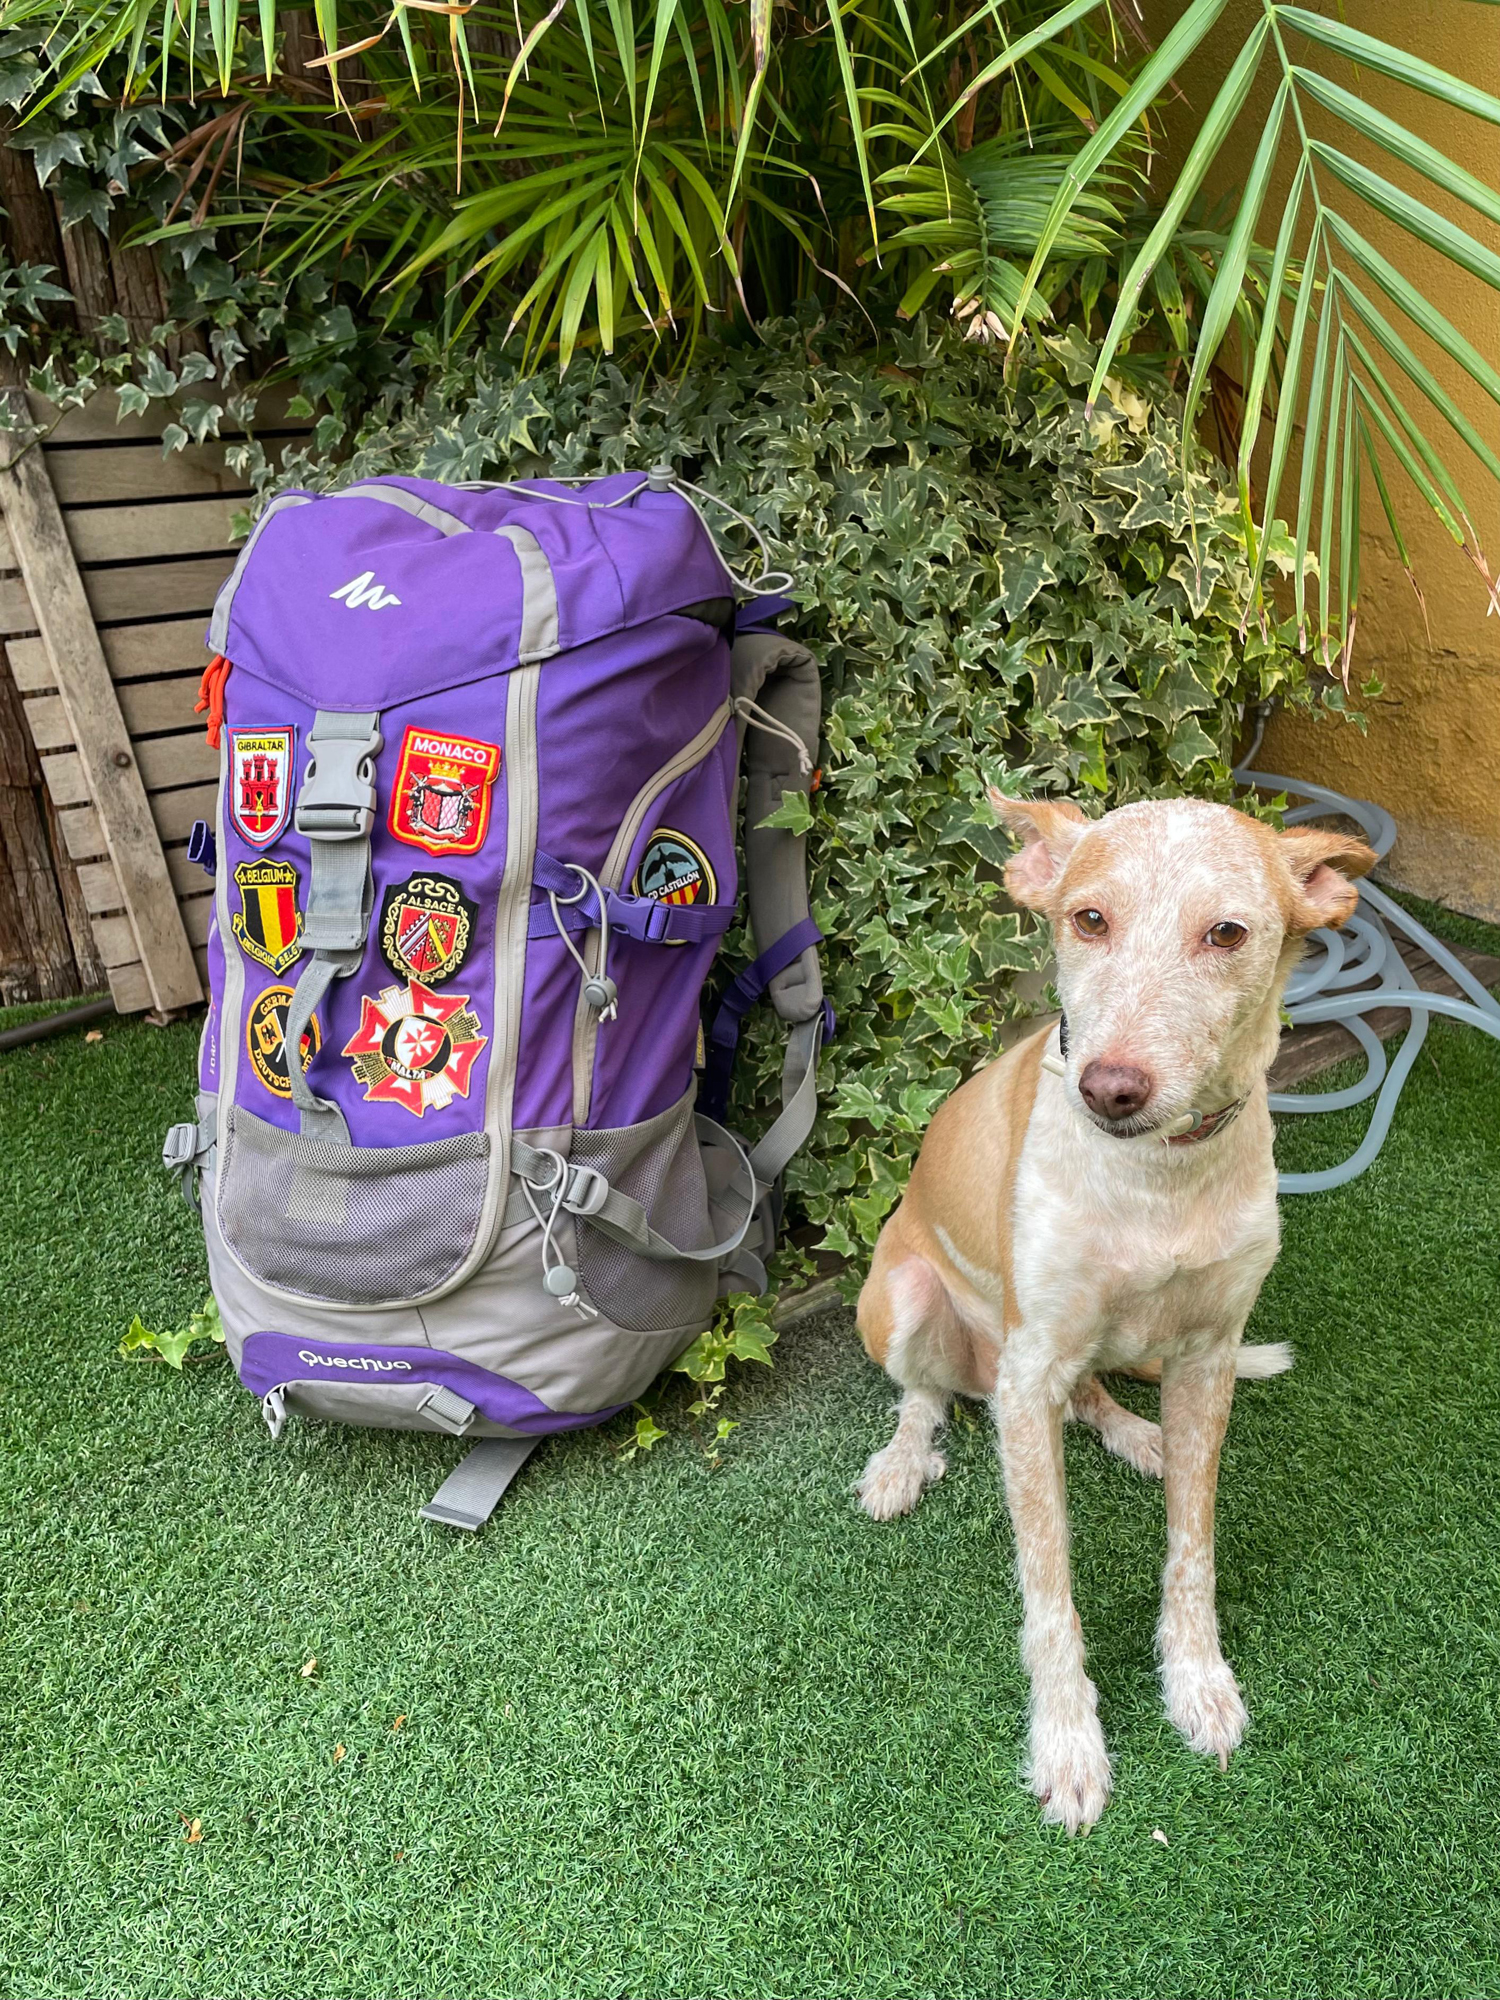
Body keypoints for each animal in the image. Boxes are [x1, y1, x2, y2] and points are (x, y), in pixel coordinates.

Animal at [855, 791, 1375, 1832]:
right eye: (1088, 919)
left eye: (1228, 933)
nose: (1111, 1087)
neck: (1159, 1178)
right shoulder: (1028, 1373)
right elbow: (1050, 1591)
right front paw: (1067, 1744)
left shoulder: (1210, 1355)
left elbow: (1192, 1550)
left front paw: (1197, 1680)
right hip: (910, 1303)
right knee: (926, 1395)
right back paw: (900, 1463)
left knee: (1093, 1394)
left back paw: (1137, 1434)